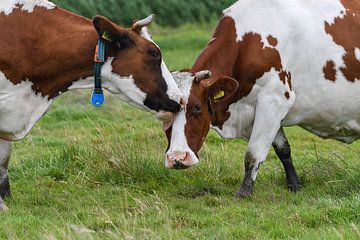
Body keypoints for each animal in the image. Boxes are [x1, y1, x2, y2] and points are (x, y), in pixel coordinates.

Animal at [166, 0, 360, 198]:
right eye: (165, 112)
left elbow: (253, 154)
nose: (177, 158)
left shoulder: (274, 100)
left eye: (197, 107)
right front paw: (294, 185)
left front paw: (243, 193)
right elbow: (283, 149)